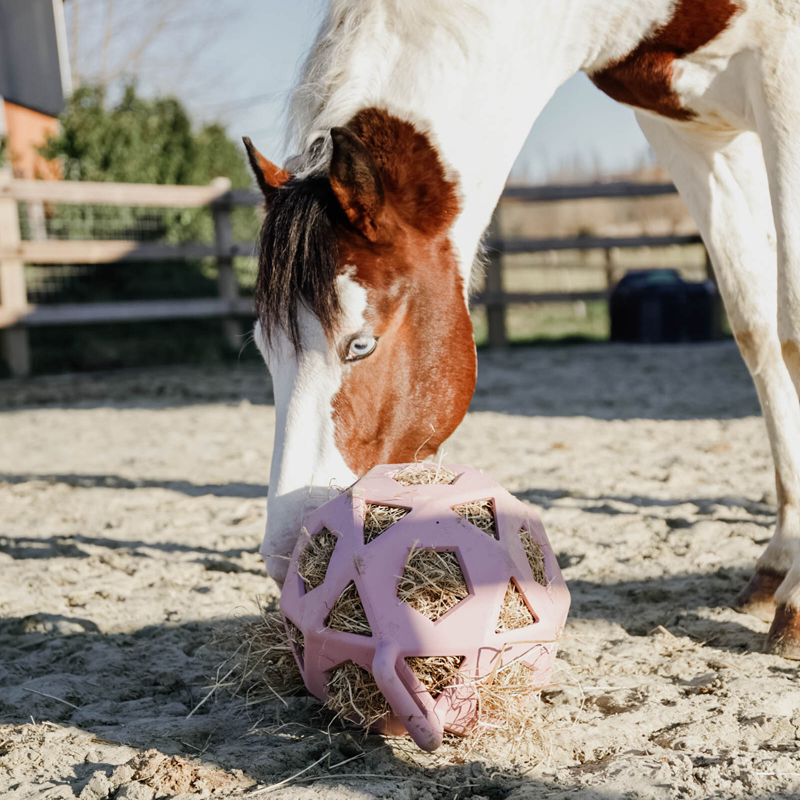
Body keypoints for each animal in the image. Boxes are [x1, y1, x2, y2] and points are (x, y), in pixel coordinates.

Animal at [243, 0, 800, 659]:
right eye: (264, 349)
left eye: (361, 343)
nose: (290, 552)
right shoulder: (688, 132)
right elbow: (758, 329)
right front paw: (782, 557)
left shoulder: (781, 71)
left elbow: (791, 328)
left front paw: (795, 598)